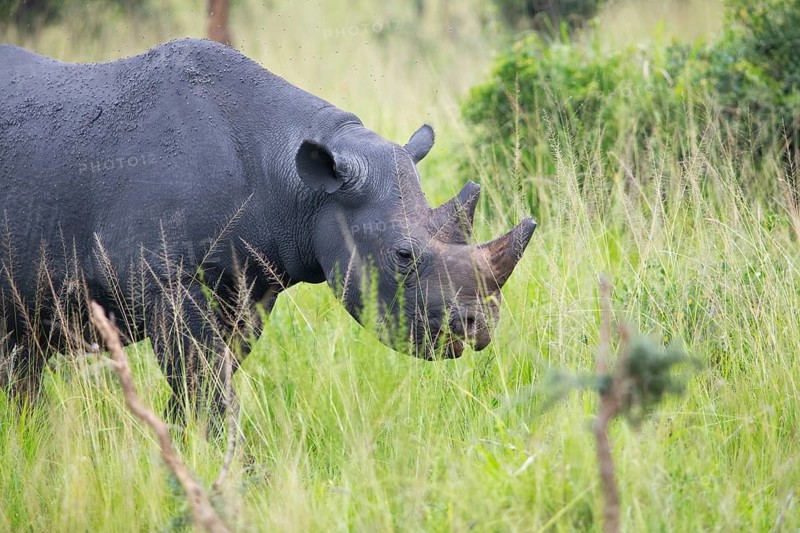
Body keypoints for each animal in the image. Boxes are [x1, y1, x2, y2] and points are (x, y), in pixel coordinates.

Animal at [0, 38, 535, 417]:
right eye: (402, 256)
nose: (479, 328)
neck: (299, 184)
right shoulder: (165, 279)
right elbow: (202, 378)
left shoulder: (250, 282)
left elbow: (211, 375)